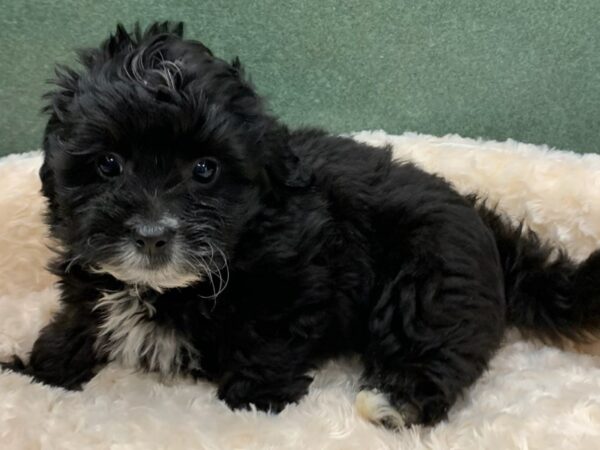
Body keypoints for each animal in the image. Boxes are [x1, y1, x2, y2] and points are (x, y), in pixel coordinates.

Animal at [1, 22, 600, 428]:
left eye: (205, 170)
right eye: (108, 165)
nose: (152, 235)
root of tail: (486, 228)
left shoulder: (294, 279)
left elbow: (268, 337)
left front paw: (252, 402)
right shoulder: (89, 280)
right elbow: (76, 323)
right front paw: (37, 371)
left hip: (431, 281)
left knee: (435, 343)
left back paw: (393, 403)